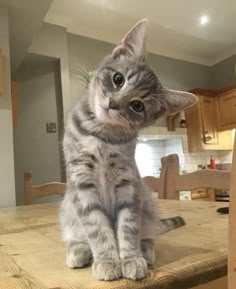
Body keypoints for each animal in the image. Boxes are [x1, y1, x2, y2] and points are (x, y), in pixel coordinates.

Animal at [59, 18, 197, 280]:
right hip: (67, 208)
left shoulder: (129, 185)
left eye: (137, 106)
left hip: (148, 202)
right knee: (78, 235)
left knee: (149, 233)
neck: (101, 135)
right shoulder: (82, 184)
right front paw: (107, 259)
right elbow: (96, 228)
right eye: (118, 79)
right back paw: (79, 251)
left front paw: (131, 258)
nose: (113, 103)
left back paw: (146, 251)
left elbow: (128, 226)